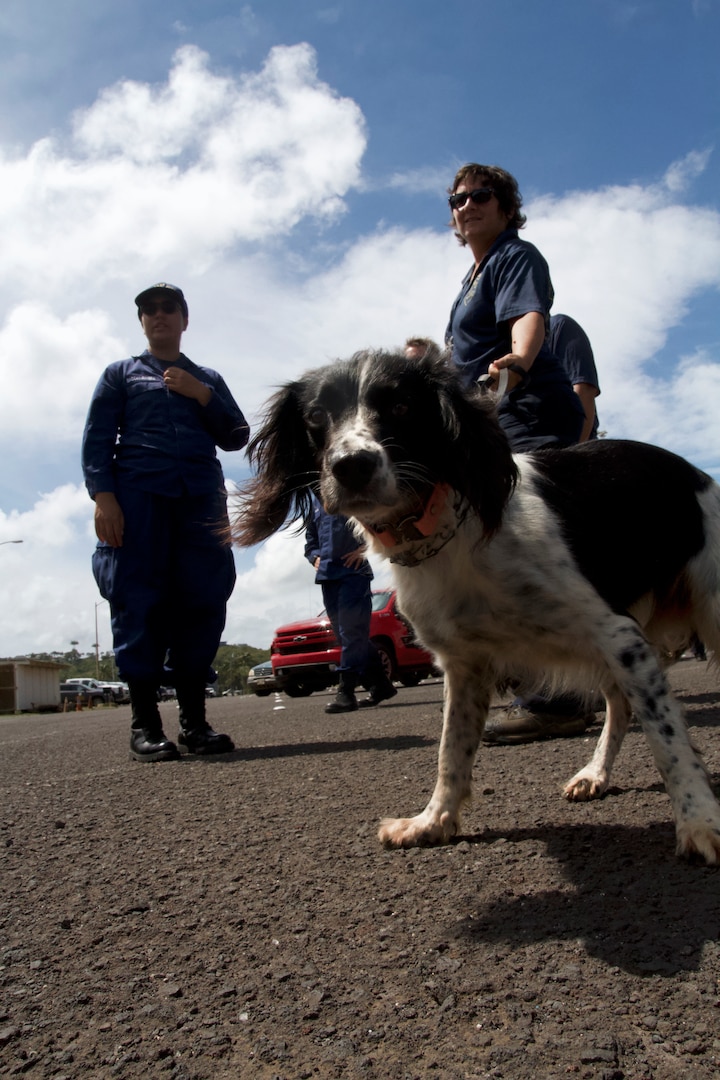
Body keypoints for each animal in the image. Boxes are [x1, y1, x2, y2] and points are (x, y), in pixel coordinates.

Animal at [236, 349, 720, 864]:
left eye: (402, 406)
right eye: (316, 417)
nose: (352, 465)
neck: (443, 527)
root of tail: (696, 473)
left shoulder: (616, 633)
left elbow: (667, 738)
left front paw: (699, 821)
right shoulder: (466, 663)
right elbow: (452, 751)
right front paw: (432, 822)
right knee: (619, 706)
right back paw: (595, 774)